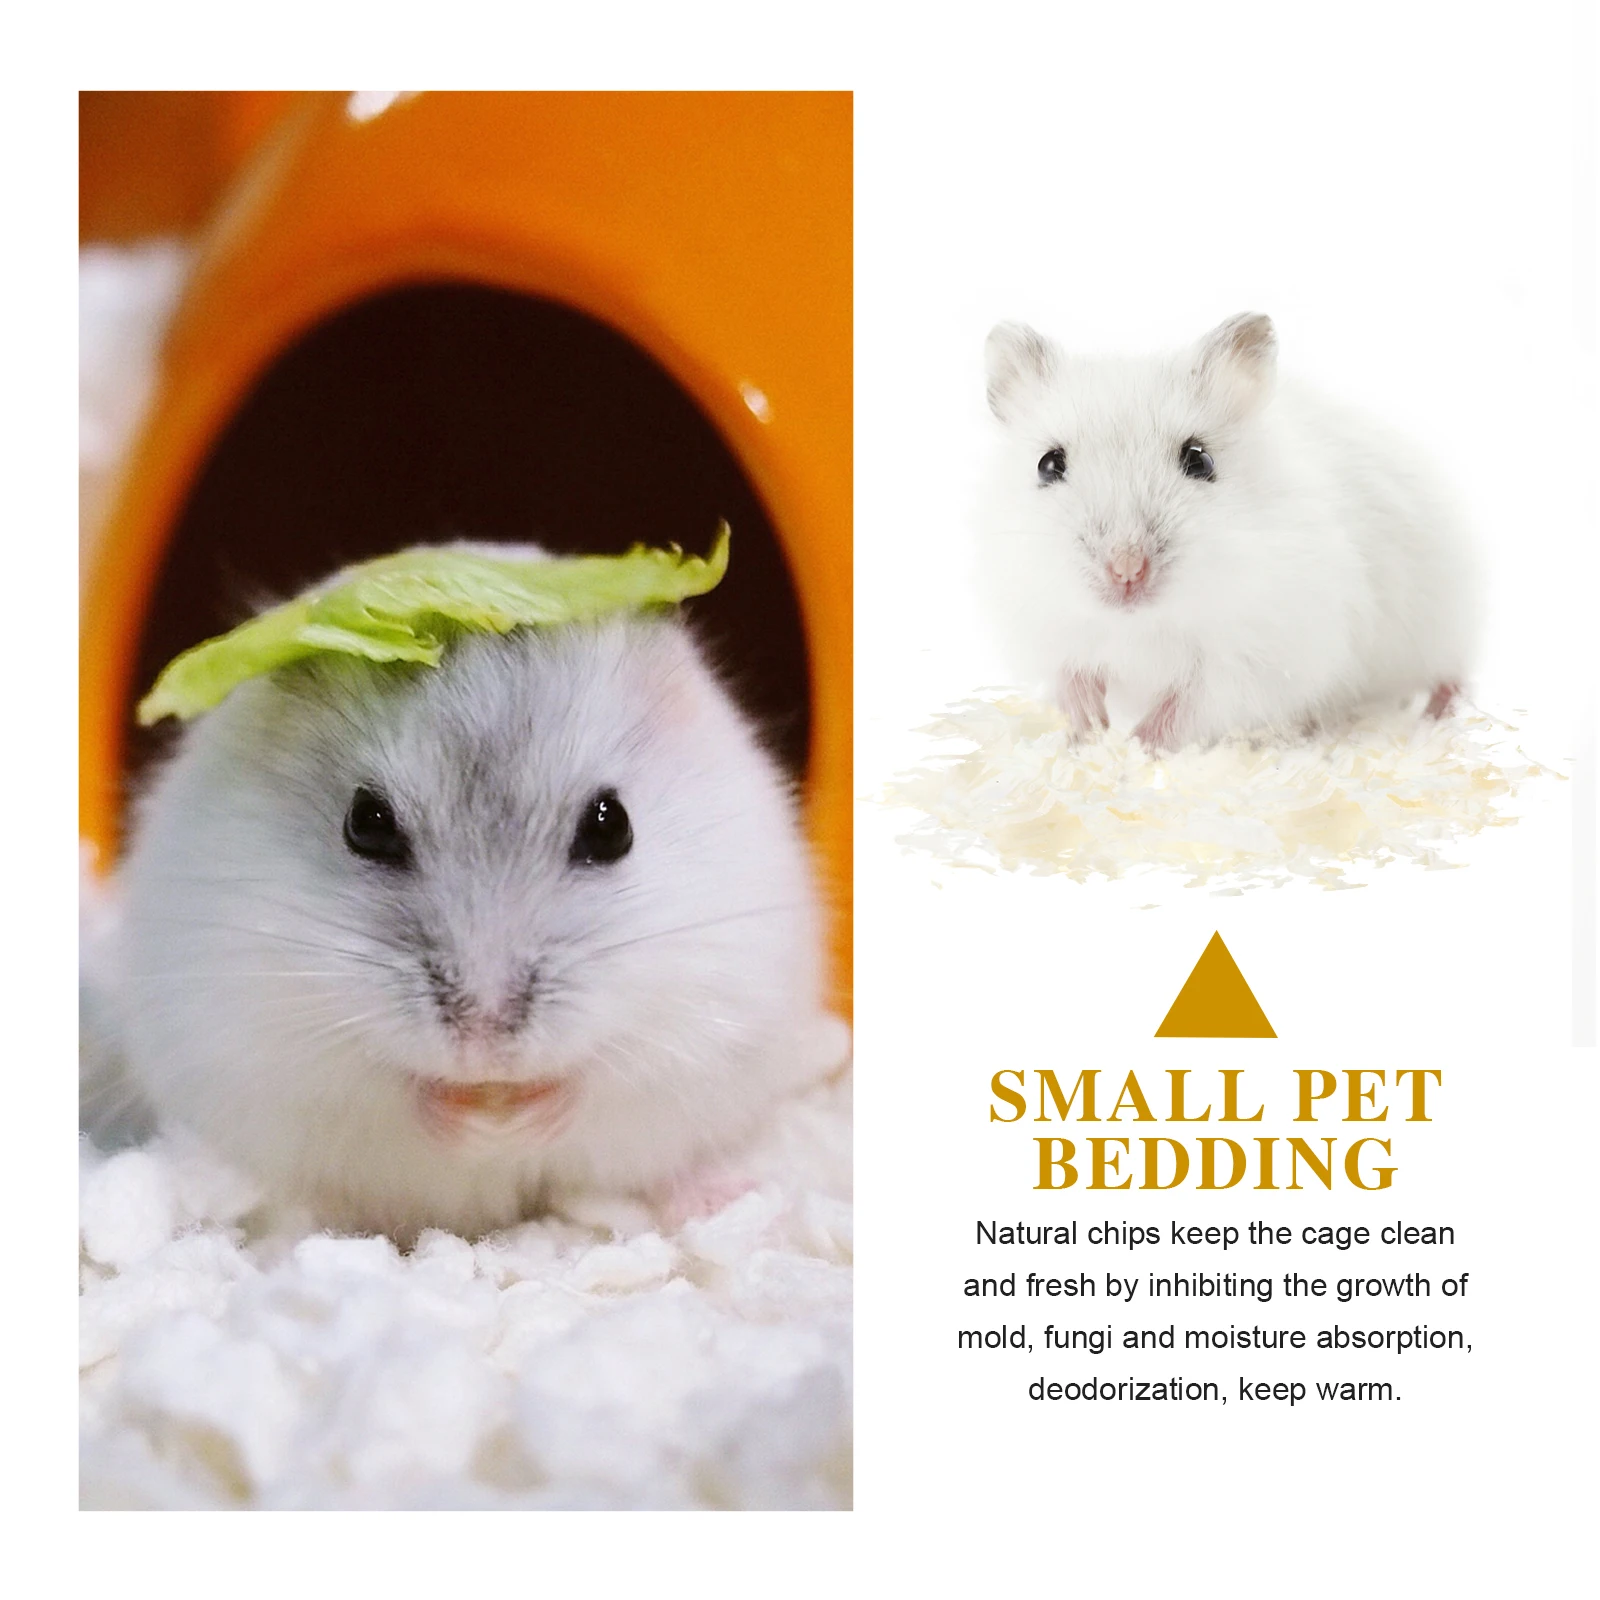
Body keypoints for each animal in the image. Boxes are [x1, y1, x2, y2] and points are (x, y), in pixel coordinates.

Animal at [106, 566, 837, 1240]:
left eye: (612, 825)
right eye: (365, 823)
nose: (483, 1044)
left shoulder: (701, 1013)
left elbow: (595, 1079)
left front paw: (513, 1118)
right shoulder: (268, 1039)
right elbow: (387, 1088)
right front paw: (476, 1120)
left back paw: (723, 1200)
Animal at [977, 313, 1482, 747]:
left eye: (1200, 460)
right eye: (1048, 465)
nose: (1127, 571)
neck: (1142, 624)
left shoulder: (1259, 659)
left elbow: (1188, 705)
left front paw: (1135, 747)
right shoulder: (1045, 627)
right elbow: (1071, 676)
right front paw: (1090, 730)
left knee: (1453, 674)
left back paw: (1438, 715)